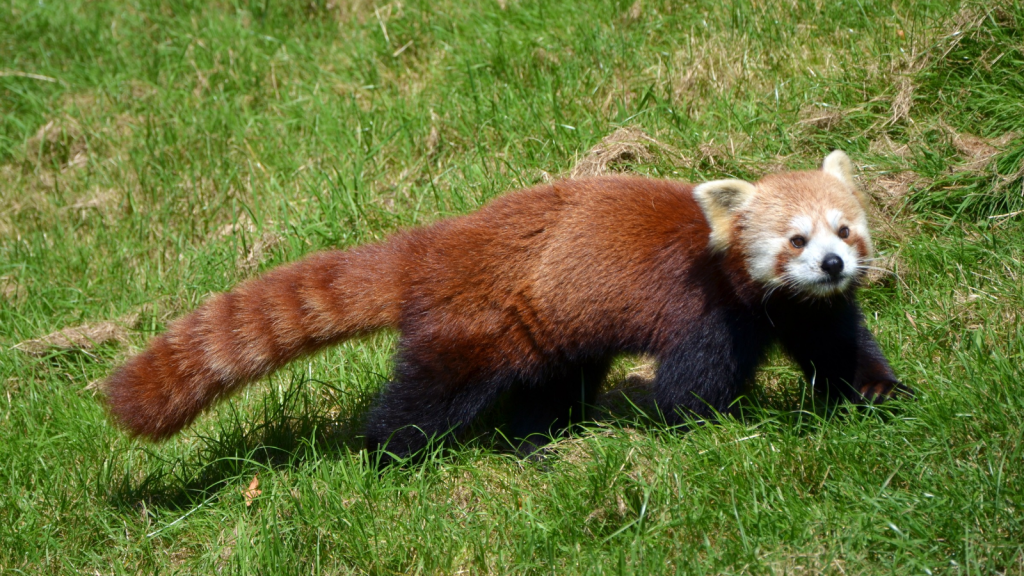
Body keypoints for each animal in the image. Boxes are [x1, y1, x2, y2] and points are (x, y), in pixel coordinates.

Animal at [101, 150, 905, 459]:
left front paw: (879, 395)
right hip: (473, 329)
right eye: (795, 238)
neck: (760, 297)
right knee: (426, 398)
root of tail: (438, 243)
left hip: (549, 328)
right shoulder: (706, 313)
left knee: (550, 386)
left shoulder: (808, 310)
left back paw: (541, 440)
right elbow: (688, 386)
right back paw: (386, 456)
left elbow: (840, 348)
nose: (834, 264)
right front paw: (707, 429)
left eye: (843, 230)